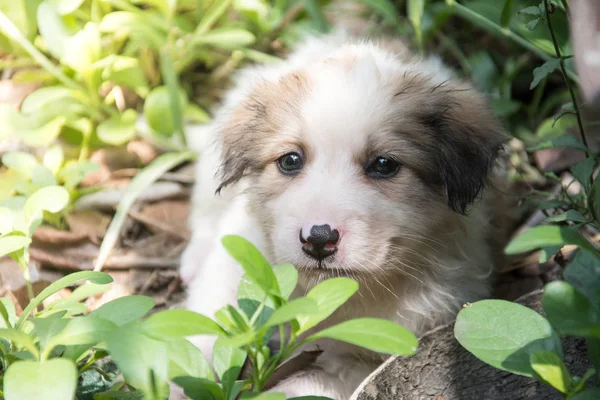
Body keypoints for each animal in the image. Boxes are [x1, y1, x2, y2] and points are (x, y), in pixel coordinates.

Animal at [182, 29, 506, 398]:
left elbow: (305, 385)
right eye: (290, 160)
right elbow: (204, 331)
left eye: (384, 165)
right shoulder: (235, 261)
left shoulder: (374, 352)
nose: (318, 240)